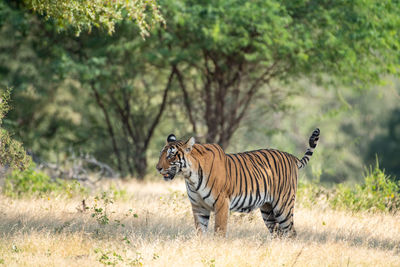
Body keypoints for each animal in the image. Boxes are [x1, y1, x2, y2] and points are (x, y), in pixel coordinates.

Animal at [155, 129, 320, 238]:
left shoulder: (221, 203)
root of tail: (292, 157)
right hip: (268, 210)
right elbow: (200, 233)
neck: (190, 177)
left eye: (171, 155)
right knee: (277, 233)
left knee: (291, 232)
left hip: (283, 206)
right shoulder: (198, 207)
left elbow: (219, 232)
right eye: (161, 154)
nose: (158, 168)